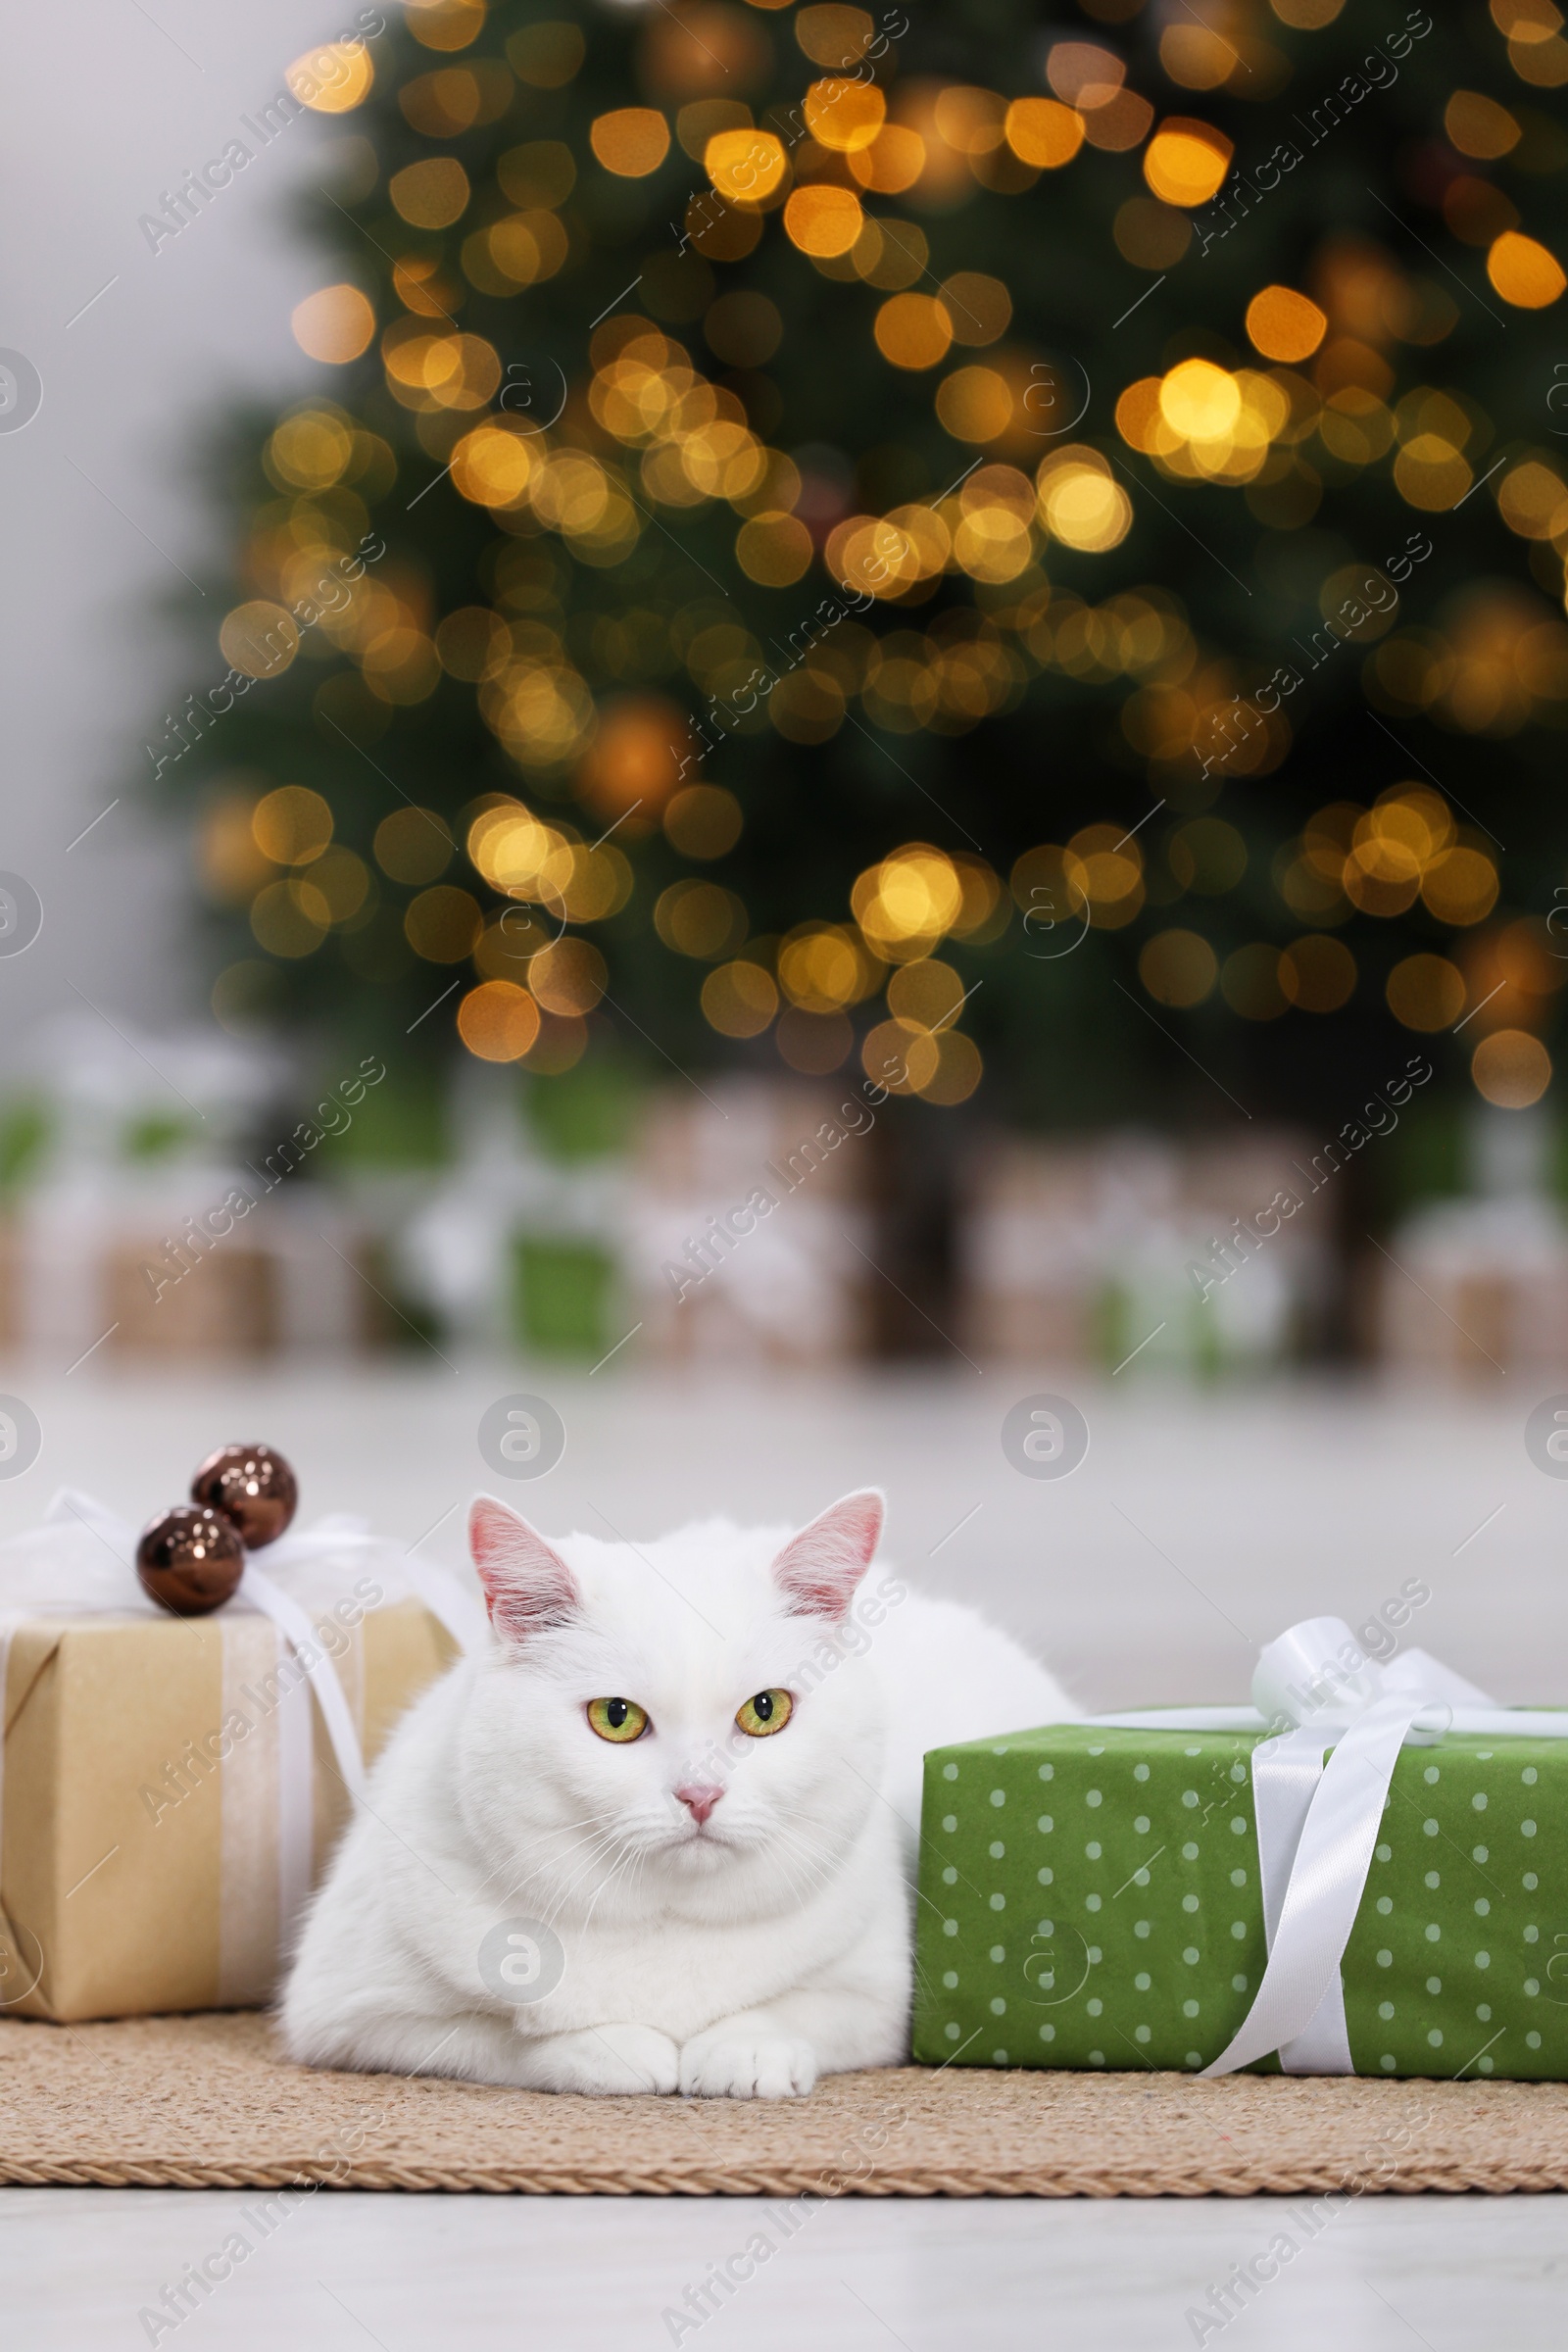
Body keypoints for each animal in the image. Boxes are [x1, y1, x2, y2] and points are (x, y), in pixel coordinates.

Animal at [281, 1486, 1071, 2097]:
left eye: (765, 1710)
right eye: (616, 1717)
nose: (700, 1794)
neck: (666, 1924)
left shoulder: (884, 1998)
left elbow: (798, 2010)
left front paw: (743, 2051)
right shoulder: (349, 2014)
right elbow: (501, 2035)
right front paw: (614, 2048)